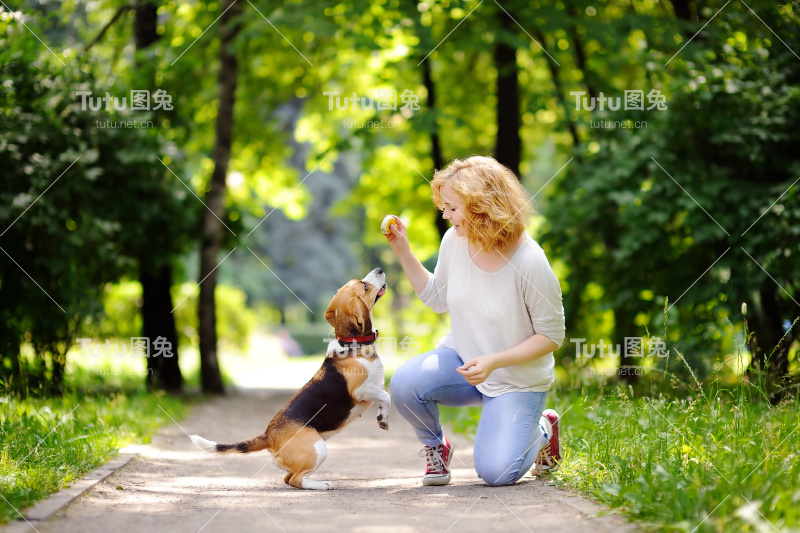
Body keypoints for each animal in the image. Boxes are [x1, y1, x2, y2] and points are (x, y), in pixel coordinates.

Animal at [191, 268, 390, 488]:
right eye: (365, 286)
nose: (379, 270)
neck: (352, 344)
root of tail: (268, 435)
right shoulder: (361, 390)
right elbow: (387, 396)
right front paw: (384, 418)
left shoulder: (377, 386)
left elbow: (384, 397)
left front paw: (382, 417)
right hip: (318, 448)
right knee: (296, 479)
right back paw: (323, 484)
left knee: (289, 478)